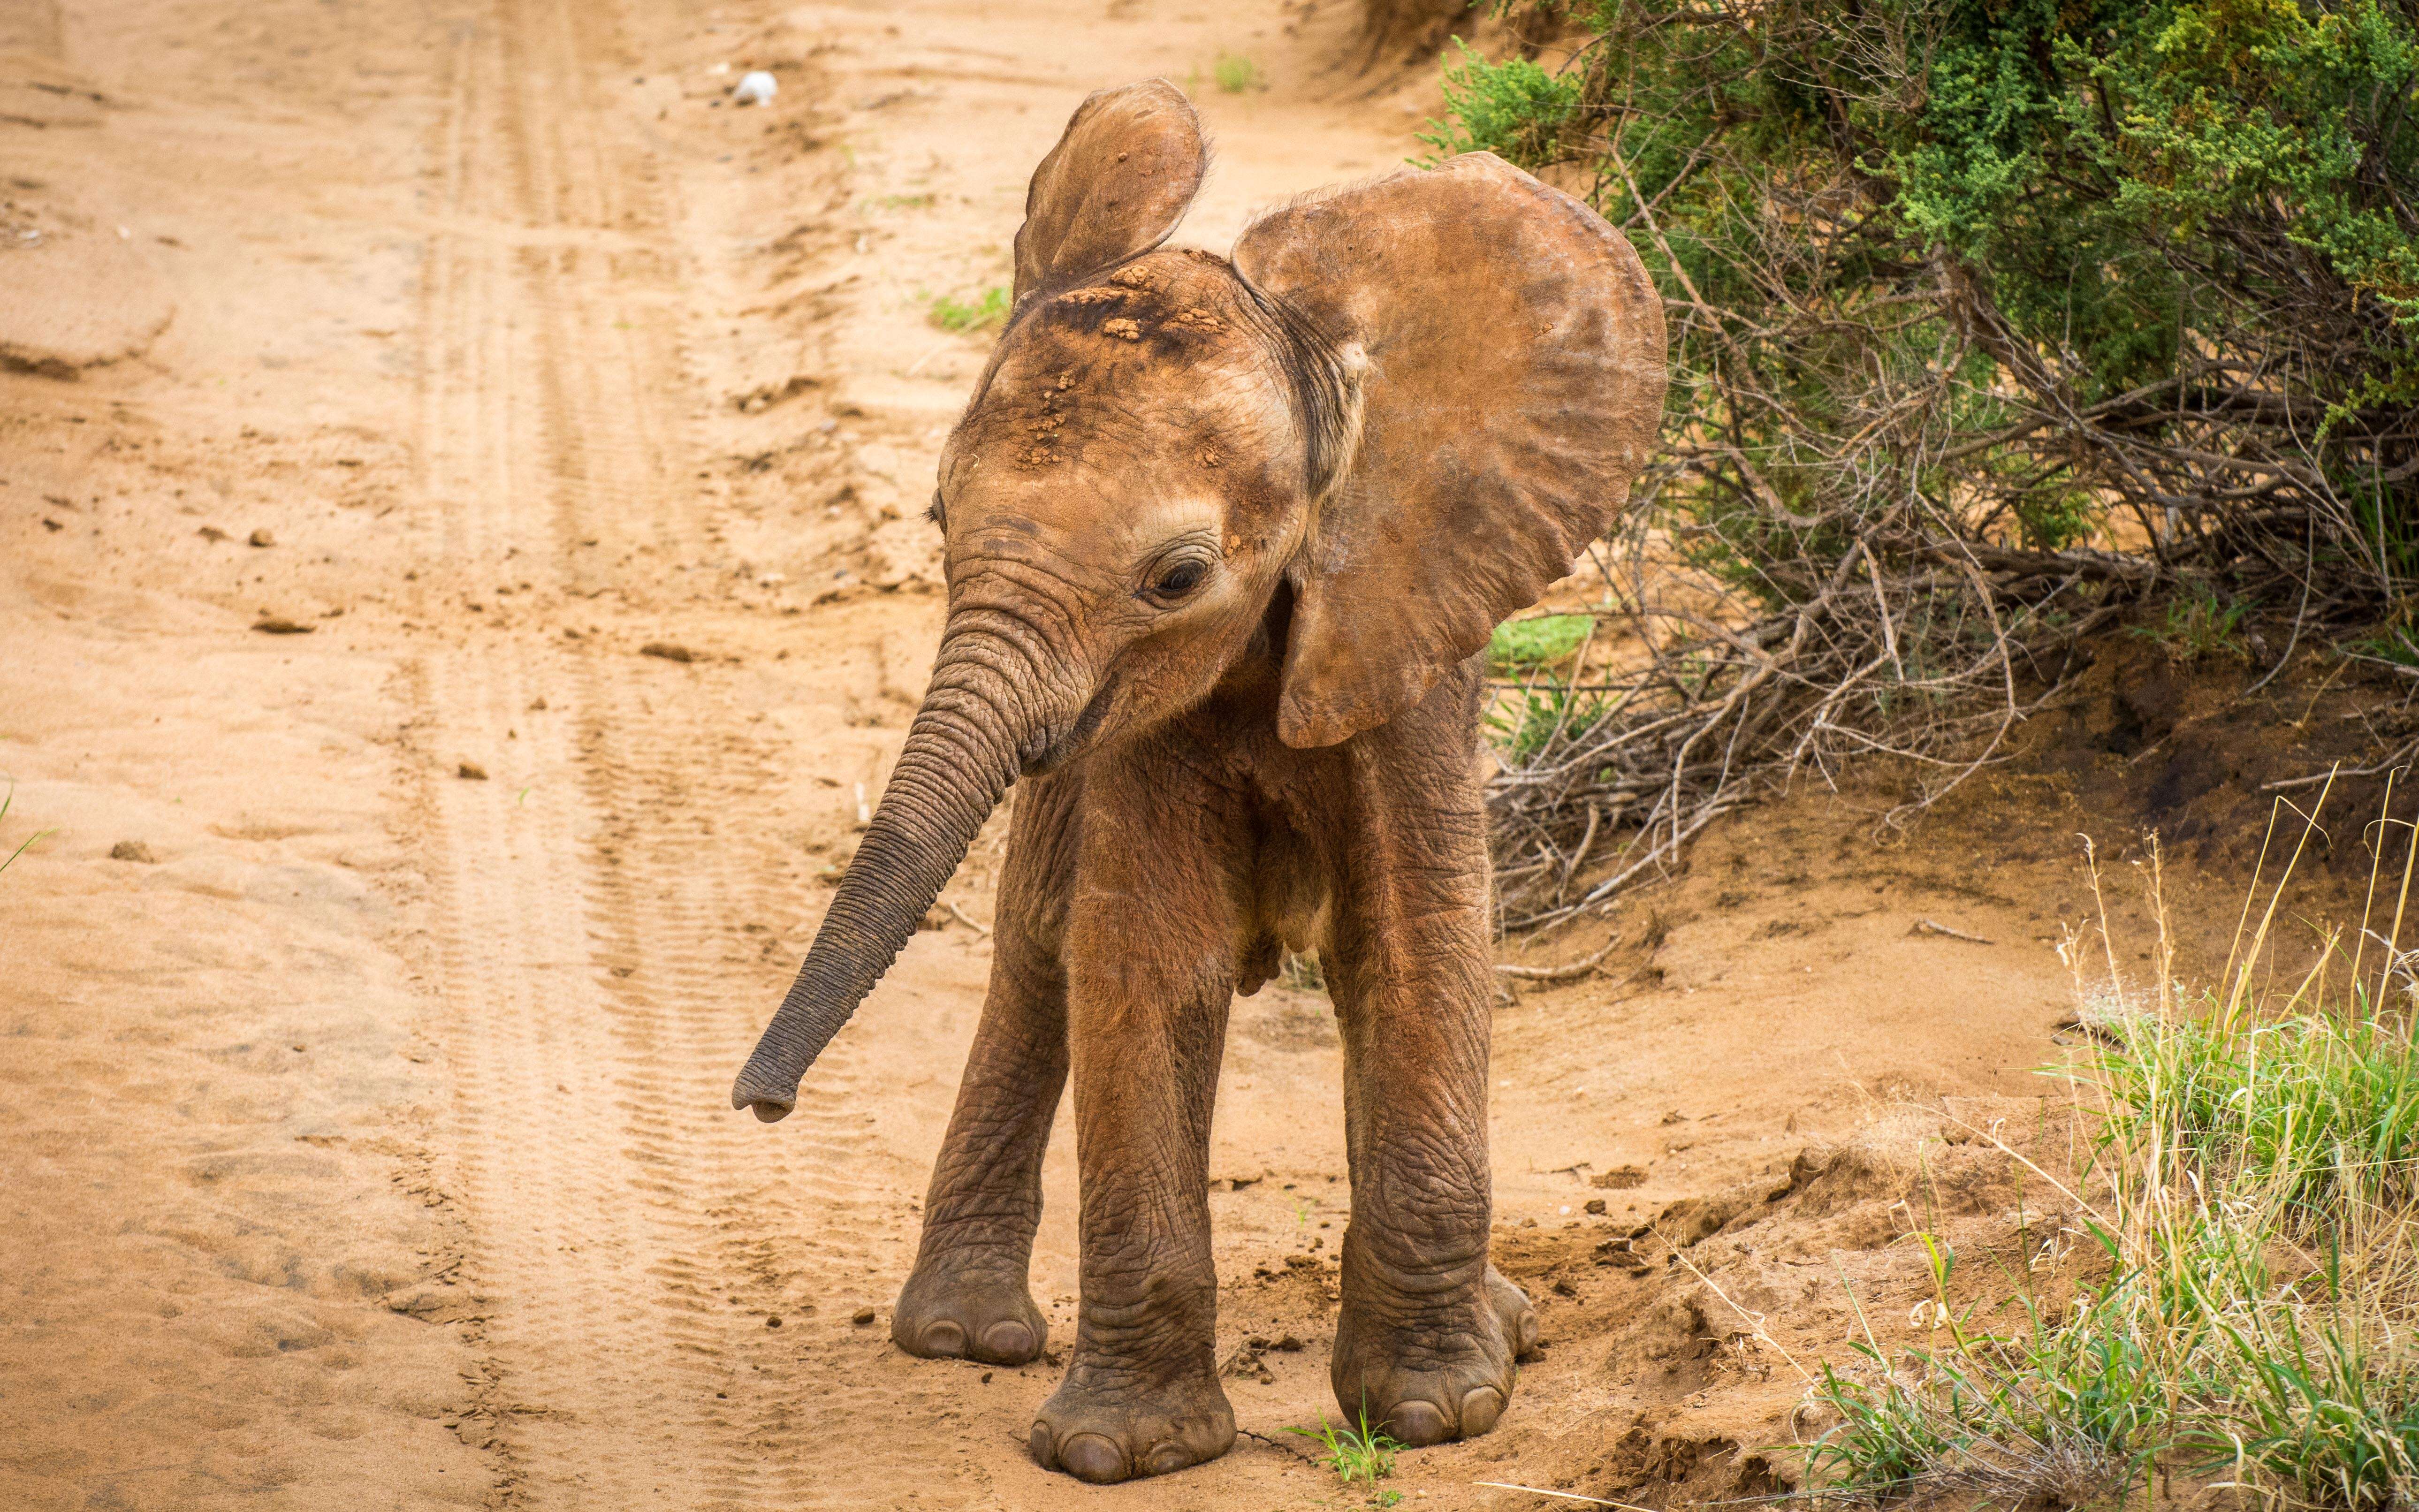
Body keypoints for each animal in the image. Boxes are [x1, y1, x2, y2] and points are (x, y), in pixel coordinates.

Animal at [730, 76, 1664, 1480]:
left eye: (1175, 577)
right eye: (940, 522)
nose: (761, 1102)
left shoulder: (1404, 638)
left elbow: (1418, 940)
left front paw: (1436, 1412)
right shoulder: (1130, 728)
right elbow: (1142, 957)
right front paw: (1122, 1451)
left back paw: (1505, 1326)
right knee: (1036, 944)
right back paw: (961, 1335)